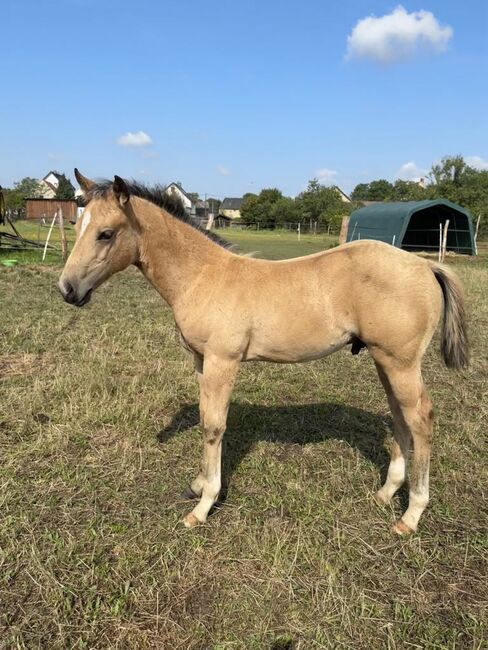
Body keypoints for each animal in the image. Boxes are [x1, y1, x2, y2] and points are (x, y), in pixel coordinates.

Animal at [59, 171, 468, 532]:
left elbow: (214, 425)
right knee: (400, 417)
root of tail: (425, 264)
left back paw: (411, 514)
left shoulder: (223, 361)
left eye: (106, 233)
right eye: (77, 226)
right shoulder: (201, 361)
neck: (203, 275)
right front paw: (197, 484)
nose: (67, 289)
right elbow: (206, 418)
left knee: (420, 420)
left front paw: (203, 506)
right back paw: (386, 493)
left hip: (401, 363)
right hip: (385, 361)